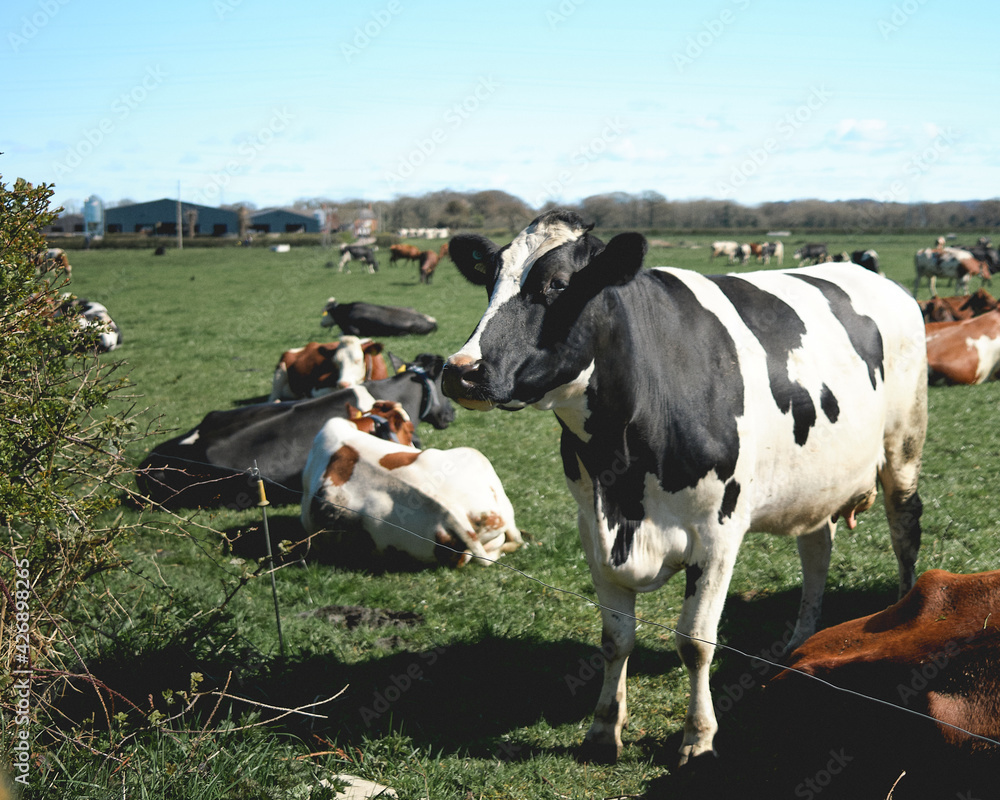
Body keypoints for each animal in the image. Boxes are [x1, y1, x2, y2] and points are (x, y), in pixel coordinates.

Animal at [442, 211, 924, 768]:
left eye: (556, 285)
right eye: (490, 280)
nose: (460, 370)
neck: (623, 480)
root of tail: (879, 279)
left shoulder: (717, 532)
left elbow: (695, 642)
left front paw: (698, 736)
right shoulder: (591, 528)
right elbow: (615, 639)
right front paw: (603, 729)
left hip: (904, 444)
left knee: (904, 529)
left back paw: (902, 616)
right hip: (817, 479)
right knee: (817, 549)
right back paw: (799, 643)